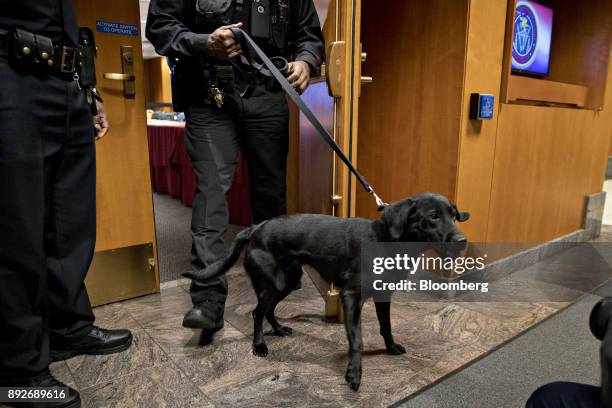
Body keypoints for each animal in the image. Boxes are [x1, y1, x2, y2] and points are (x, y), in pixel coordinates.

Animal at [184, 193, 470, 390]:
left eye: (453, 214)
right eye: (433, 216)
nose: (462, 241)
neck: (386, 241)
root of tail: (255, 228)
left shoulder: (383, 295)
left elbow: (386, 326)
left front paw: (390, 348)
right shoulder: (351, 297)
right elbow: (357, 340)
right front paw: (354, 374)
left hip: (288, 281)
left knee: (268, 310)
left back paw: (278, 330)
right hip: (274, 283)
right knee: (257, 313)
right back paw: (260, 346)